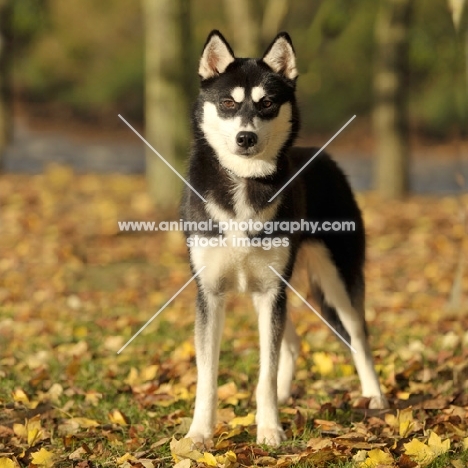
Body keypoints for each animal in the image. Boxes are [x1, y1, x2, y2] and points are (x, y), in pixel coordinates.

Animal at [179, 29, 388, 446]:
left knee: (359, 336)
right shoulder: (212, 294)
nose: (245, 138)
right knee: (292, 343)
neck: (245, 182)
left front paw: (269, 429)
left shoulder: (270, 293)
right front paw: (199, 434)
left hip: (336, 283)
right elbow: (208, 377)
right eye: (228, 103)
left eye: (267, 104)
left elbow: (266, 372)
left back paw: (374, 396)